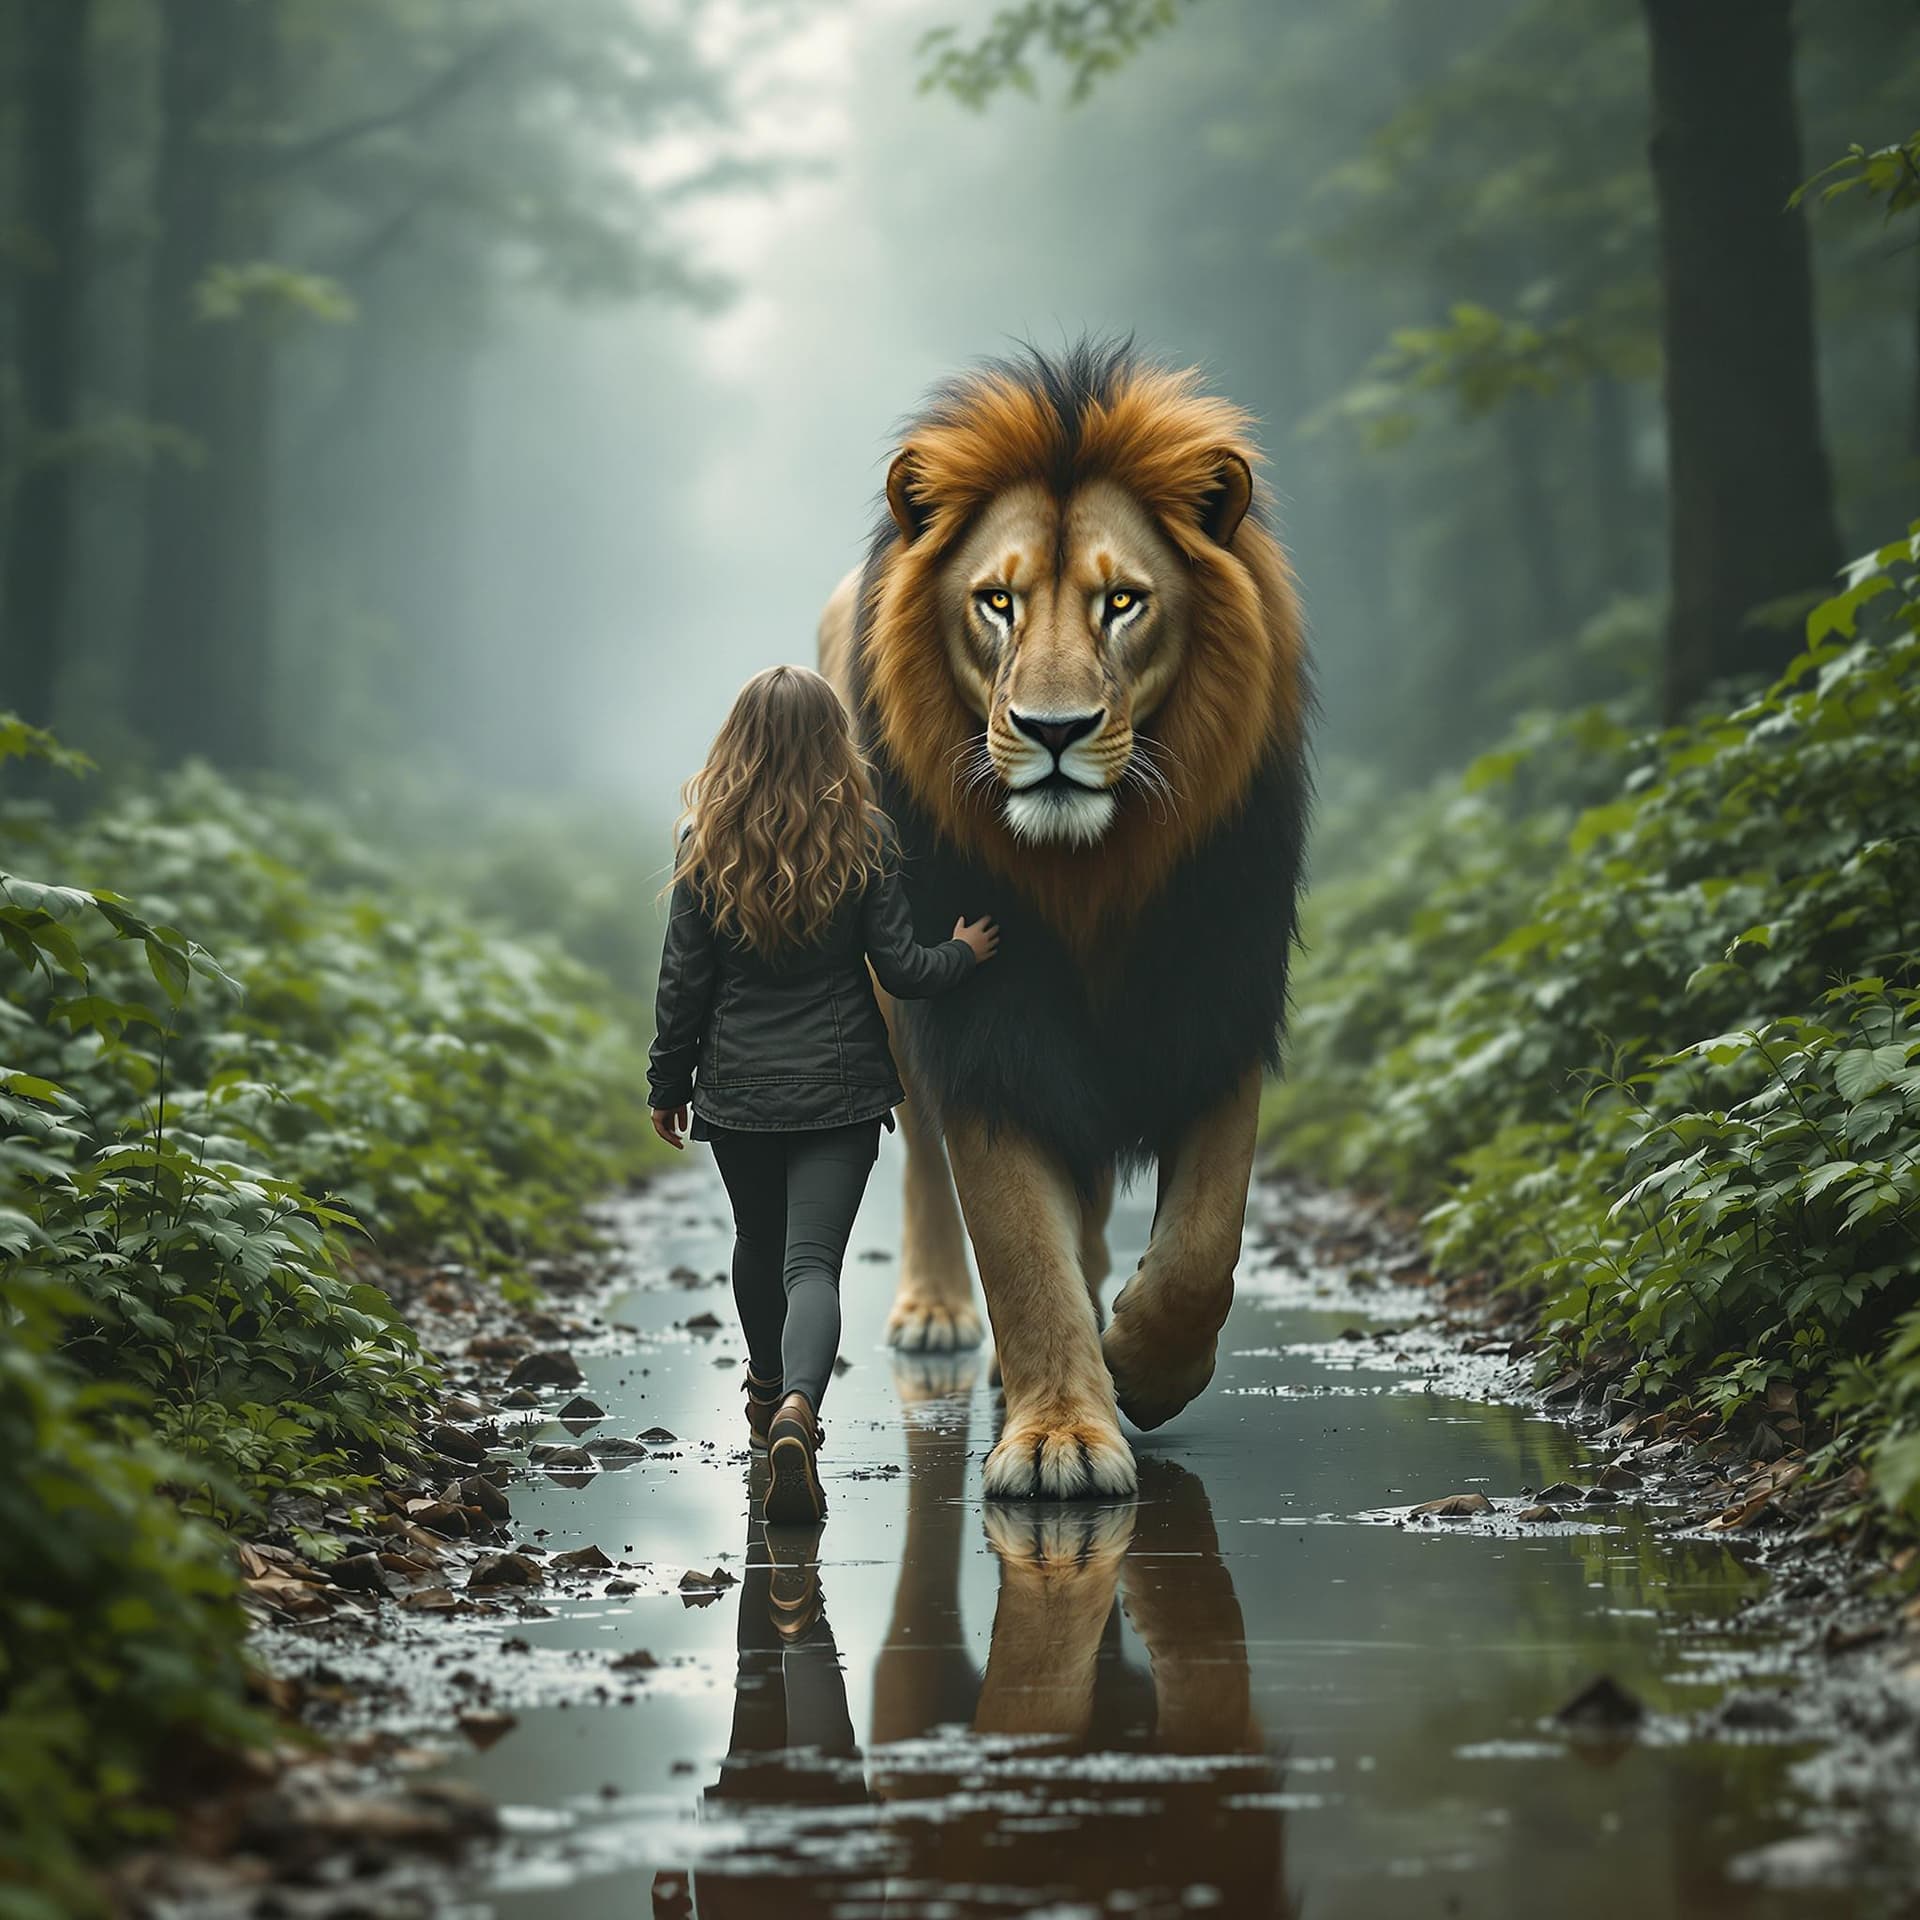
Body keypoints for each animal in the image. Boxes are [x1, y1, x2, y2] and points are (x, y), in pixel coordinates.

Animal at [819, 338, 1308, 1499]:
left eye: (1122, 601)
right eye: (996, 602)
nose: (1052, 730)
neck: (1094, 871)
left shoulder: (1220, 993)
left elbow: (1203, 1242)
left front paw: (1143, 1363)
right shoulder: (989, 1018)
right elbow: (1016, 1243)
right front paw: (1058, 1440)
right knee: (927, 1164)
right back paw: (943, 1316)